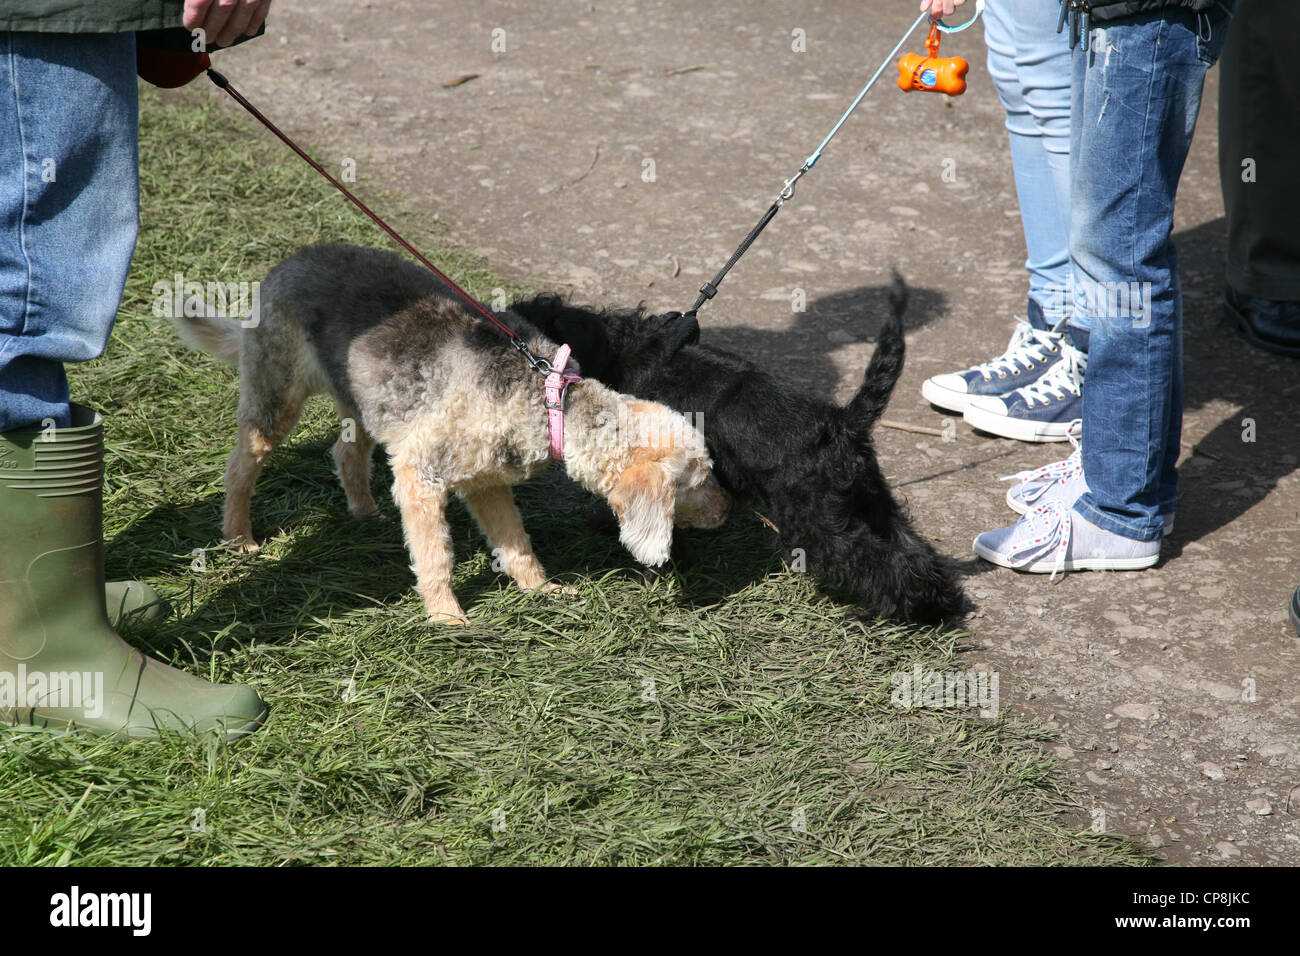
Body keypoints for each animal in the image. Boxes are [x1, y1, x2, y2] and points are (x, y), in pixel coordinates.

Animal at [506, 277, 967, 624]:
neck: (617, 348)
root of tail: (842, 423)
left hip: (816, 522)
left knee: (872, 560)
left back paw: (889, 614)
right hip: (871, 499)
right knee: (910, 548)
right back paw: (936, 606)